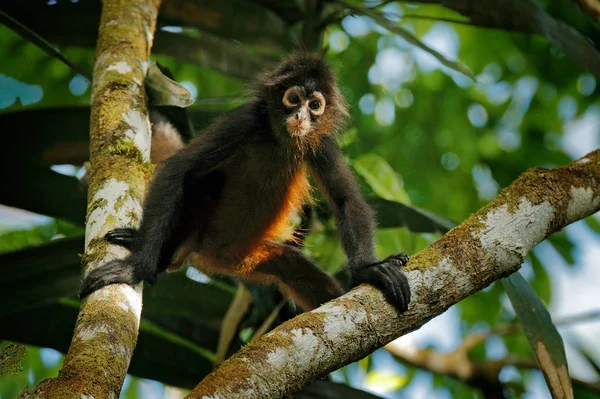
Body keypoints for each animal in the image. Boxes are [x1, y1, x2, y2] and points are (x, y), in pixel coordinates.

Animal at [77, 54, 410, 312]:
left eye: (315, 105)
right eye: (294, 99)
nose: (301, 116)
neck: (279, 140)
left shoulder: (320, 142)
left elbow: (346, 200)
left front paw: (368, 271)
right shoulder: (245, 120)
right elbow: (177, 170)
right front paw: (136, 268)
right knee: (204, 179)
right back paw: (163, 257)